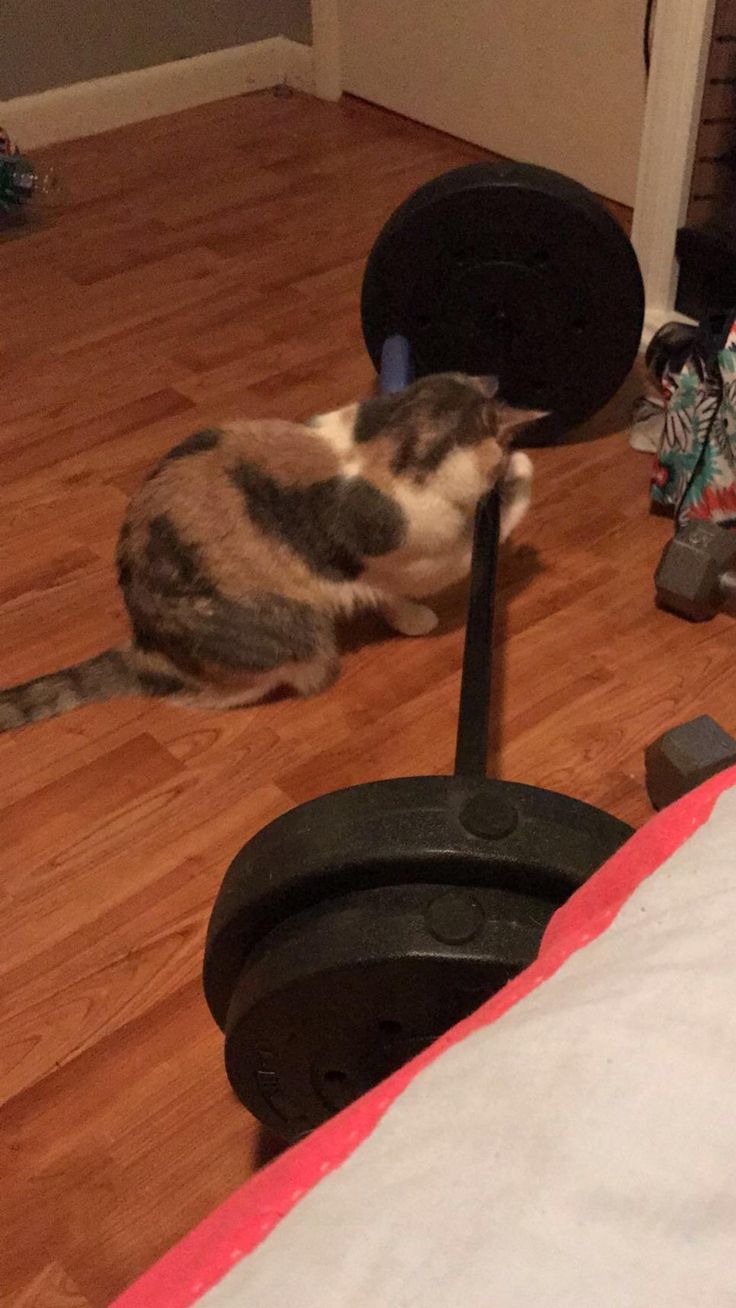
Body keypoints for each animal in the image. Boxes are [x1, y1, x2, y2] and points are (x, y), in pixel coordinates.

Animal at [0, 374, 541, 732]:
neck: (383, 440)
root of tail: (146, 640)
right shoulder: (424, 554)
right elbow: (471, 543)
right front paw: (521, 469)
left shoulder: (385, 569)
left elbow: (388, 592)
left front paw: (407, 619)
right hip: (299, 629)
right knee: (223, 690)